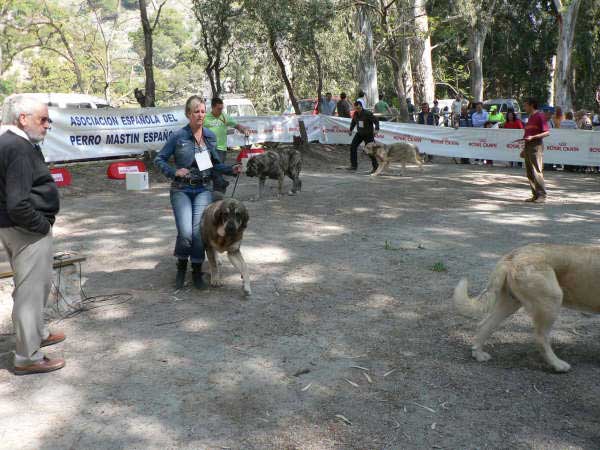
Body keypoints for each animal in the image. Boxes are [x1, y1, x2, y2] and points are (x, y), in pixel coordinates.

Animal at [454, 244, 600, 370]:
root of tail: (512, 256)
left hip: (510, 304)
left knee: (485, 325)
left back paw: (478, 354)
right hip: (552, 301)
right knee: (540, 337)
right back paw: (557, 364)